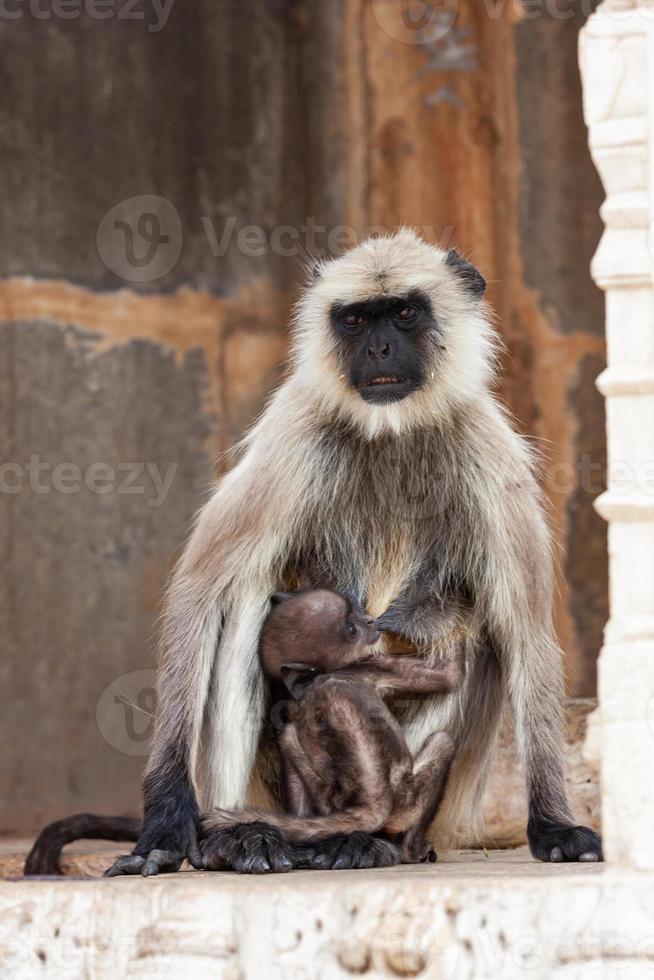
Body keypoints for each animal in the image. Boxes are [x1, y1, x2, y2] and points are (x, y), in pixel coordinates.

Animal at [202, 588, 464, 872]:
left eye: (355, 614)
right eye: (351, 628)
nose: (370, 621)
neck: (318, 677)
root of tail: (371, 805)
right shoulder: (369, 667)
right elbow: (449, 674)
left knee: (289, 738)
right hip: (405, 803)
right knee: (442, 741)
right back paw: (411, 849)